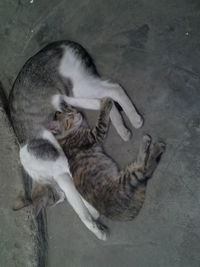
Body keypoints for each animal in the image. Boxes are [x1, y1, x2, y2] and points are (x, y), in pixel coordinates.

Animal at [9, 40, 142, 242]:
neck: (40, 174)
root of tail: (61, 44)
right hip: (71, 95)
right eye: (59, 199)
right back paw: (123, 129)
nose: (61, 198)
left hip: (79, 87)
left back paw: (135, 119)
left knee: (113, 89)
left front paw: (95, 224)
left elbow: (81, 207)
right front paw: (93, 212)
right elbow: (79, 199)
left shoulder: (63, 166)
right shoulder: (63, 177)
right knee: (104, 99)